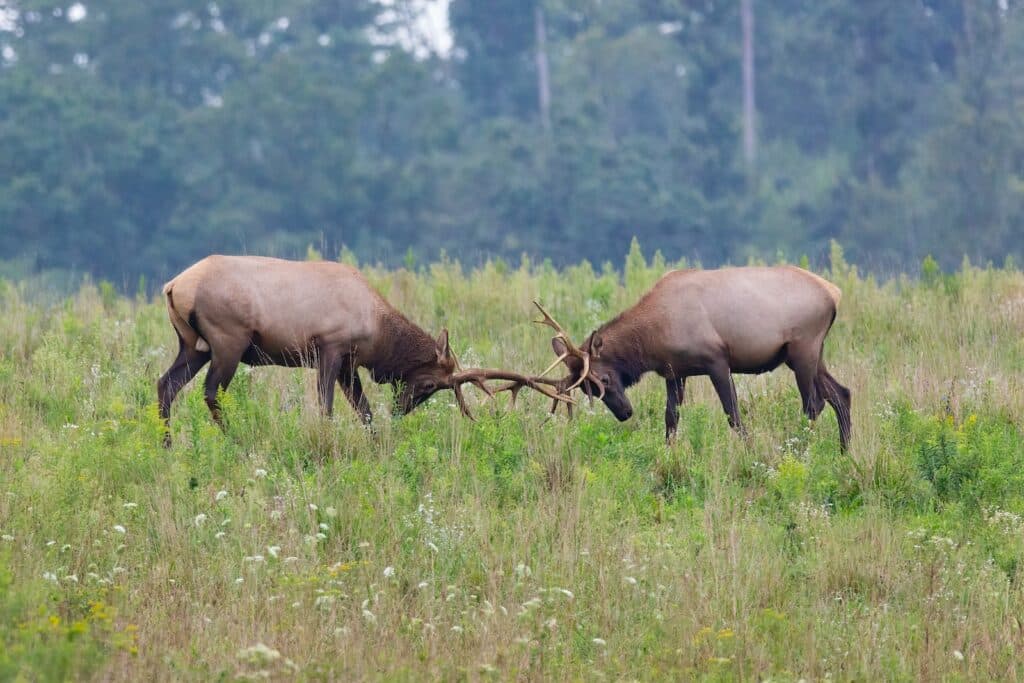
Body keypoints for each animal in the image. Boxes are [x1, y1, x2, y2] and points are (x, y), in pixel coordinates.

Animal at [157, 255, 571, 445]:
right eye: (428, 385)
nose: (400, 411)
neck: (377, 332)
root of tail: (173, 286)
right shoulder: (330, 346)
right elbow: (326, 407)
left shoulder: (348, 363)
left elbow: (364, 410)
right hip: (228, 340)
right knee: (212, 392)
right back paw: (235, 439)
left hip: (193, 345)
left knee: (165, 385)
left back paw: (166, 444)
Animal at [530, 266, 852, 450]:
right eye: (586, 388)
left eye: (605, 378)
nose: (625, 413)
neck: (652, 338)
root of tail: (834, 293)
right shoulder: (674, 371)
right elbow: (671, 417)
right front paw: (667, 454)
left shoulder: (717, 360)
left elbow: (733, 415)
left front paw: (751, 451)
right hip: (809, 353)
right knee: (841, 393)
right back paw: (844, 452)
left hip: (803, 348)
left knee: (814, 404)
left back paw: (800, 450)